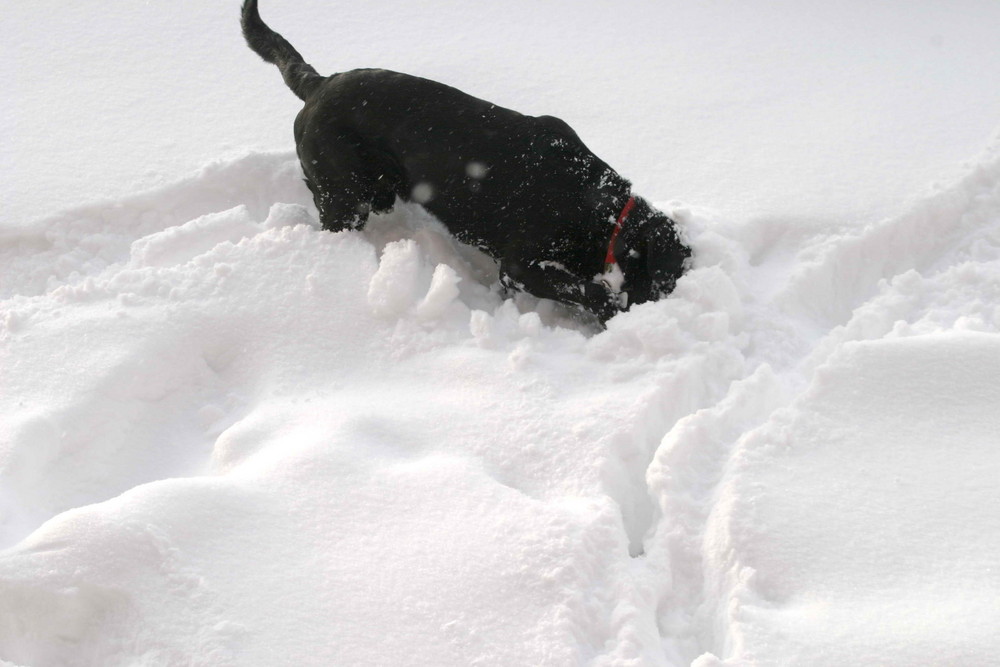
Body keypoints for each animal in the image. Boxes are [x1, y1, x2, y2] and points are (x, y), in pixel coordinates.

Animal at [240, 0, 688, 324]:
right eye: (664, 280)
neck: (597, 208)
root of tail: (320, 83)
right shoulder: (521, 265)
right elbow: (589, 289)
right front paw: (611, 313)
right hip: (344, 196)